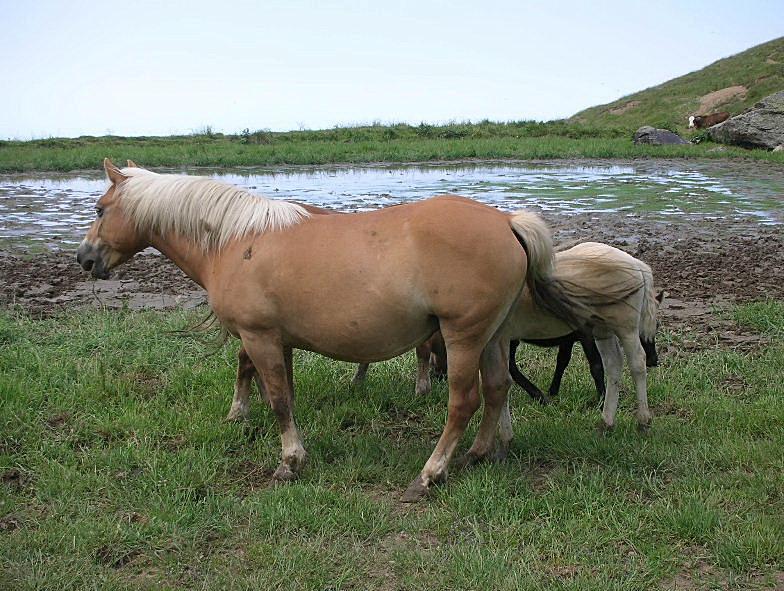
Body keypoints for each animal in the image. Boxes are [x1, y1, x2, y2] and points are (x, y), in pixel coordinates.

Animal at [76, 160, 576, 502]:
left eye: (100, 209)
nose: (84, 258)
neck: (236, 240)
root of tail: (507, 221)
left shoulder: (259, 336)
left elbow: (278, 399)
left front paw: (289, 462)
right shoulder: (274, 340)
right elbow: (274, 389)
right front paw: (249, 421)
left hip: (463, 337)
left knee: (464, 402)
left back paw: (431, 473)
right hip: (493, 336)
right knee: (497, 390)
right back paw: (483, 453)